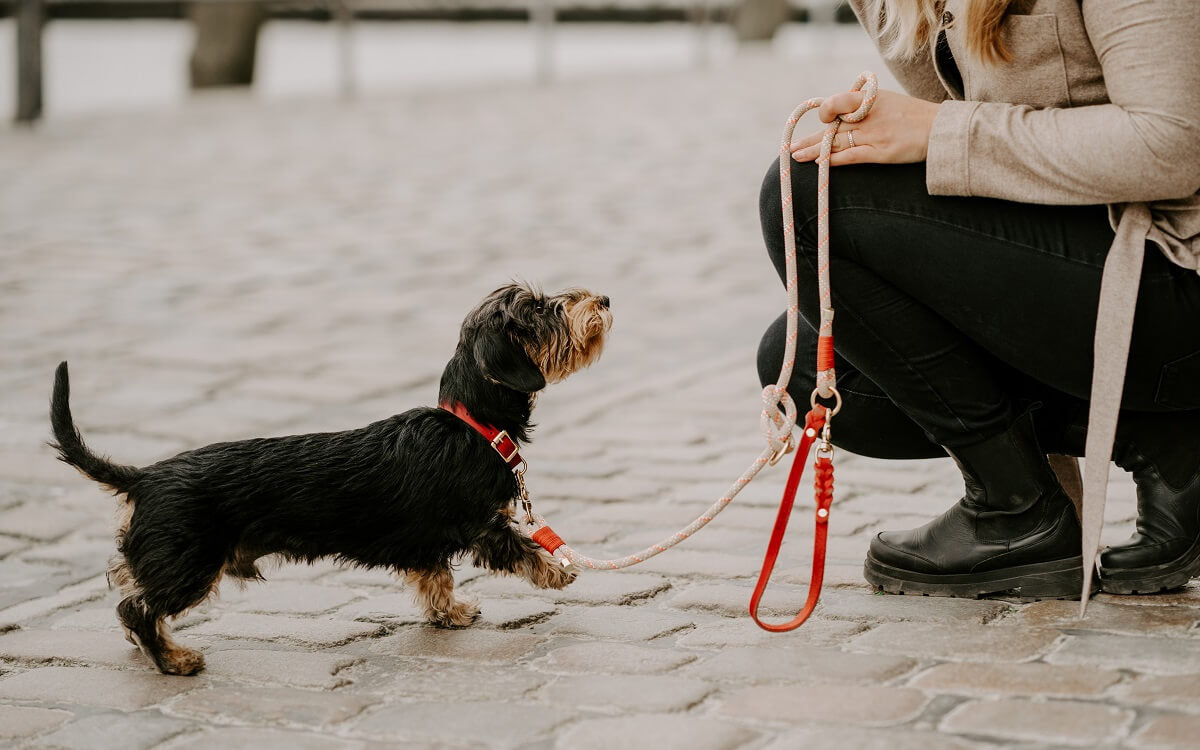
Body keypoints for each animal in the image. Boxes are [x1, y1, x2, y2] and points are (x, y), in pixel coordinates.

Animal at [49, 282, 609, 676]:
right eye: (540, 310)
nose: (602, 299)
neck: (472, 424)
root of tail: (143, 478)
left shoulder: (427, 540)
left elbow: (434, 577)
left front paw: (448, 613)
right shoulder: (482, 524)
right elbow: (521, 549)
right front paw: (558, 571)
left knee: (127, 584)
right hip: (191, 564)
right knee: (136, 607)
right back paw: (174, 660)